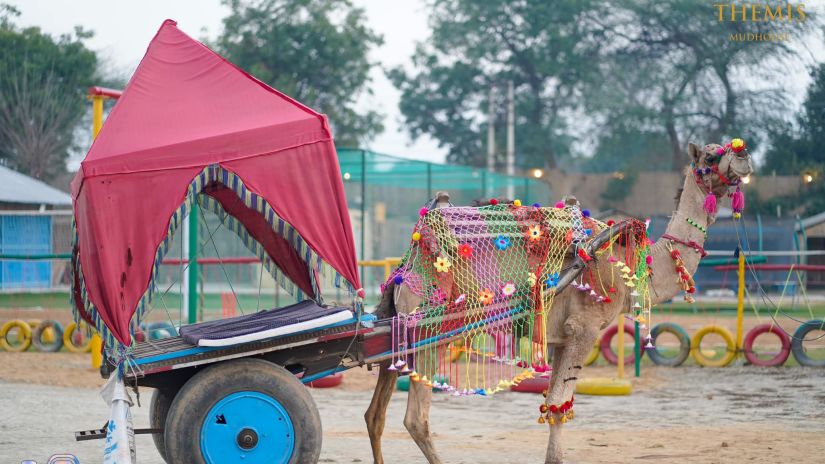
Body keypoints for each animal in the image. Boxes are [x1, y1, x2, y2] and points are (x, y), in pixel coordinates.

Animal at [364, 142, 748, 464]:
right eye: (710, 156)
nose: (743, 156)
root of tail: (408, 264)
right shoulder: (584, 329)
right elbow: (560, 408)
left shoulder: (561, 338)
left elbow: (554, 406)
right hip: (430, 332)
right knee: (415, 419)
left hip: (397, 331)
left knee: (375, 414)